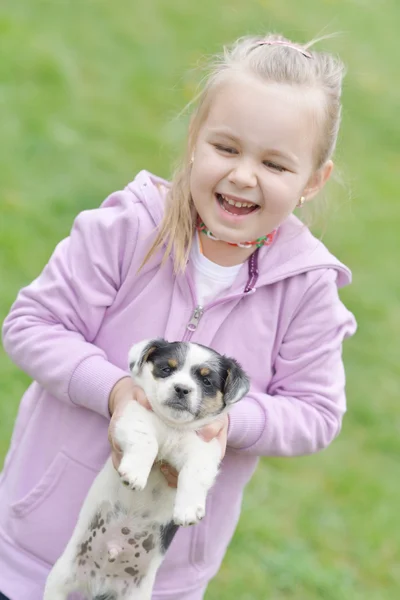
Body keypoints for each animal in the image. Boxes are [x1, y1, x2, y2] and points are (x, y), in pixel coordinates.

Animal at [43, 340, 250, 596]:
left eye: (207, 381)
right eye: (166, 369)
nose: (182, 389)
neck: (172, 427)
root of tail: (101, 580)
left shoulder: (204, 448)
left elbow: (195, 473)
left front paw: (188, 510)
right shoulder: (133, 416)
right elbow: (147, 441)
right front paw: (135, 475)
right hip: (62, 577)